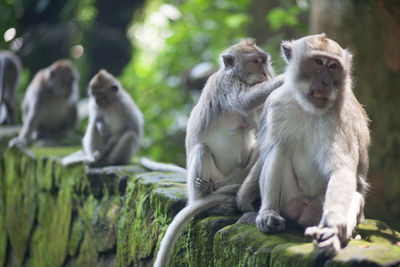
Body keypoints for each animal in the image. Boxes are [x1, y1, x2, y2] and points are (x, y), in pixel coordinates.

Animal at [154, 38, 284, 267]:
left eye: (264, 61)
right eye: (255, 61)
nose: (265, 72)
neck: (239, 77)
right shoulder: (226, 86)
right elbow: (243, 101)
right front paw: (285, 78)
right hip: (211, 176)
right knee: (201, 150)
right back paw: (209, 204)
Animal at [236, 33, 370, 260]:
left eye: (333, 66)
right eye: (318, 62)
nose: (325, 82)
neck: (309, 108)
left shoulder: (342, 118)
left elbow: (342, 170)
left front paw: (333, 226)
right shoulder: (275, 102)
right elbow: (267, 151)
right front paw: (246, 199)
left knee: (354, 197)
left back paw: (331, 238)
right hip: (290, 199)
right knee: (279, 149)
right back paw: (269, 213)